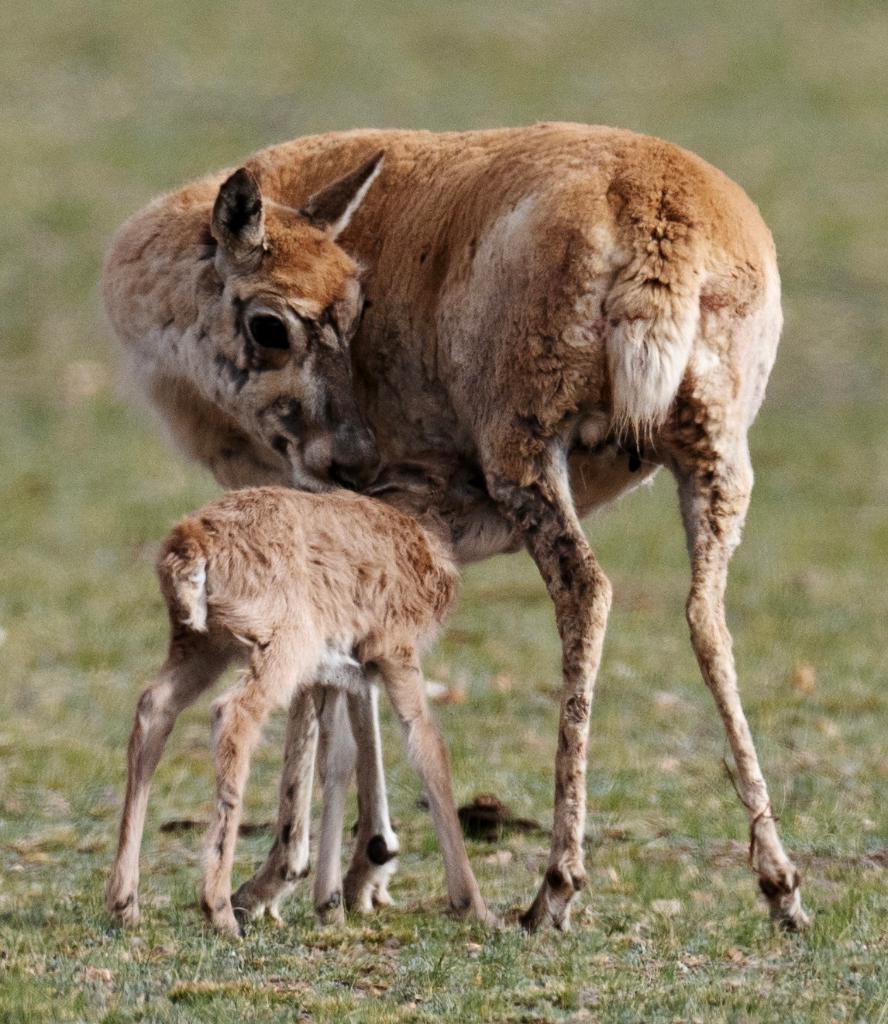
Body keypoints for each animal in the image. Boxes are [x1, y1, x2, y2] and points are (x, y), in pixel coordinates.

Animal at [104, 485, 495, 937]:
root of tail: (191, 540)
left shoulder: (337, 676)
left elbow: (338, 759)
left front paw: (331, 903)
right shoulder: (395, 652)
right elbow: (427, 747)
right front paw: (475, 906)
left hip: (201, 647)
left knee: (153, 708)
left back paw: (125, 904)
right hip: (276, 651)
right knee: (233, 715)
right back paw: (220, 910)